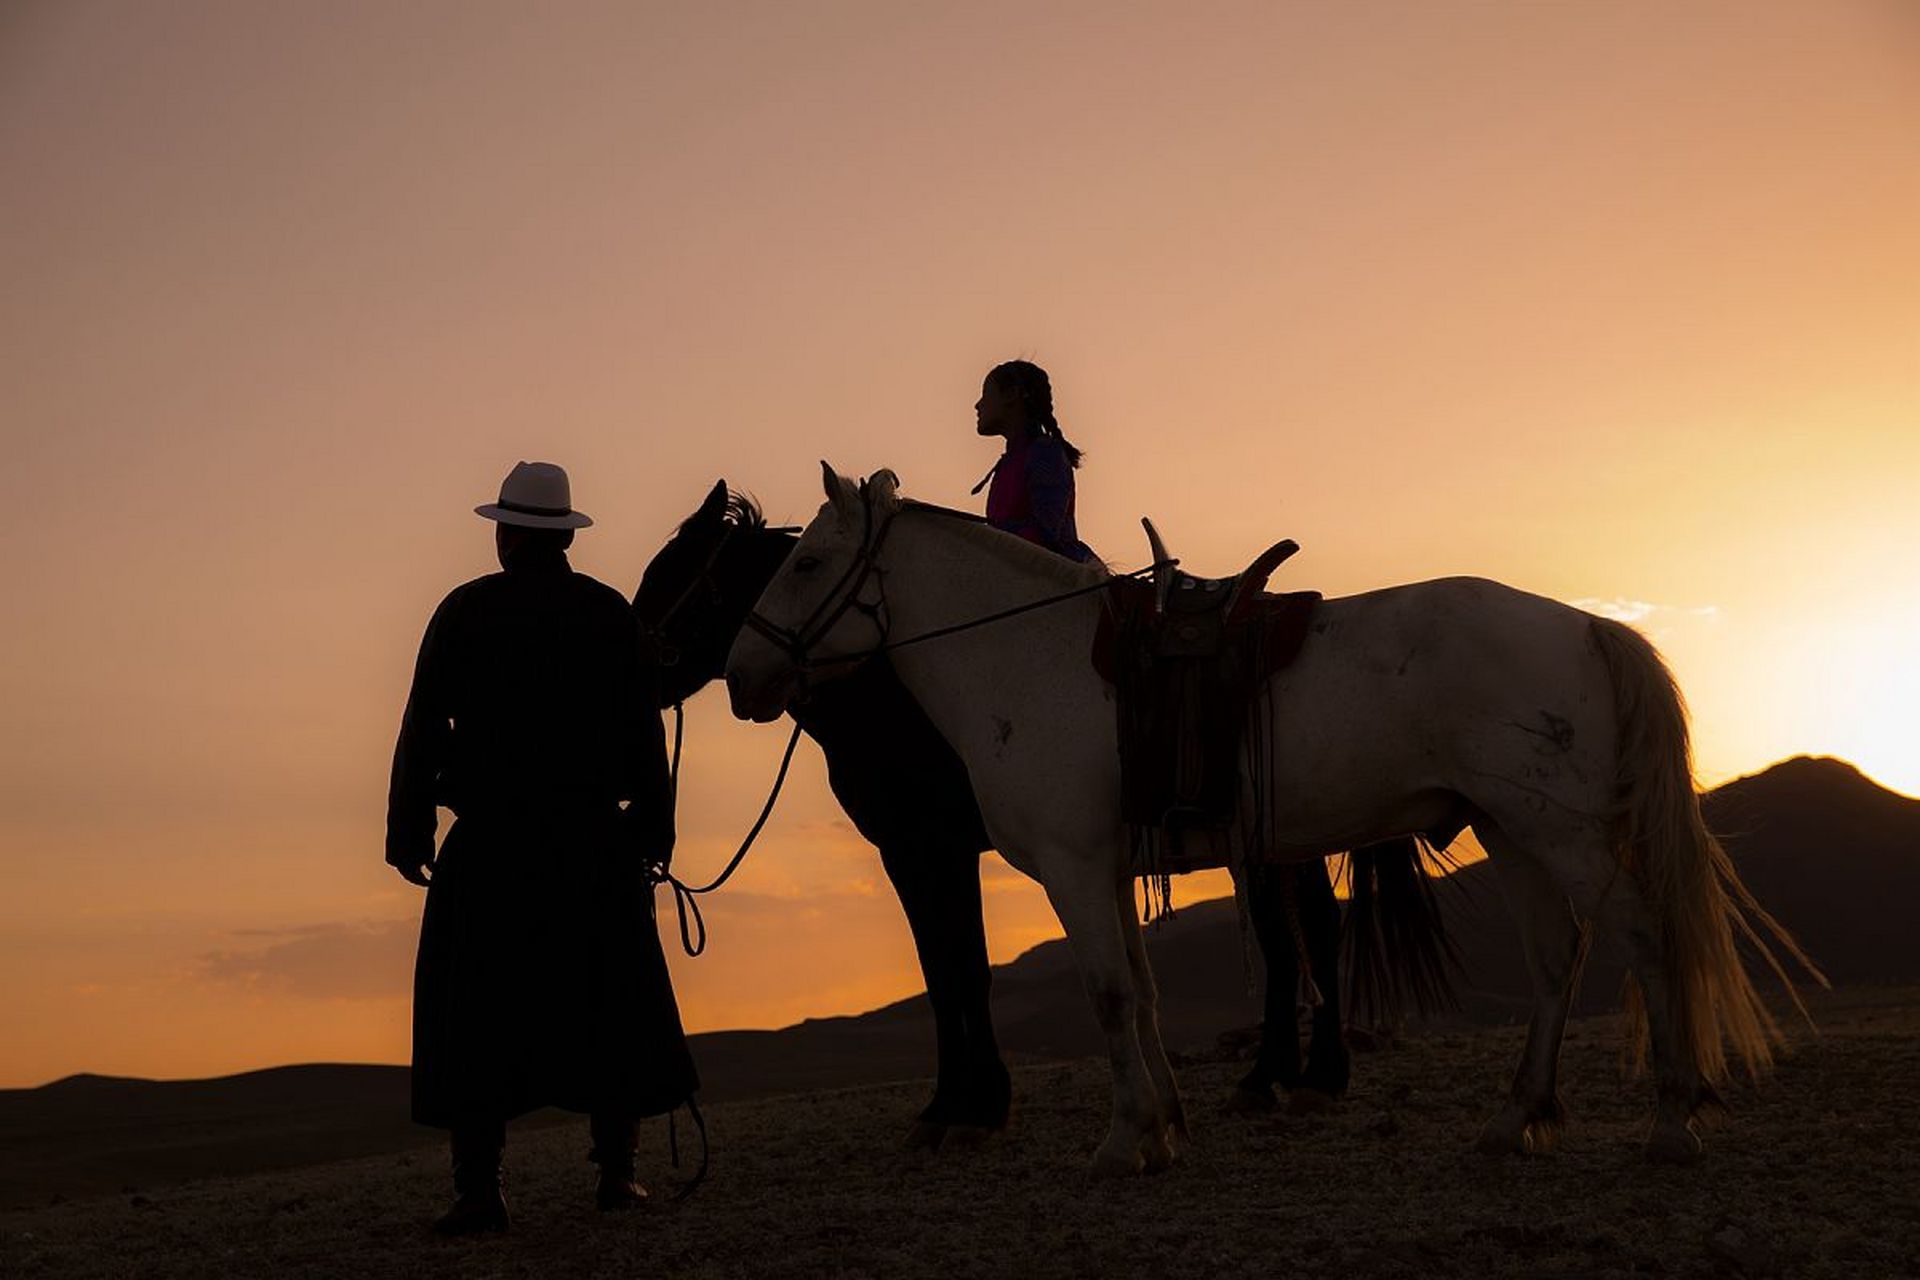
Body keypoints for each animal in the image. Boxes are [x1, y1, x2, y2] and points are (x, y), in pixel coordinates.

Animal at [633, 485, 1451, 1143]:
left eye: (673, 576)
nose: (742, 678)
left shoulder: (931, 848)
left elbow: (960, 972)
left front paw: (969, 1108)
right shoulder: (923, 852)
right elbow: (949, 970)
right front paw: (960, 1104)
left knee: (1311, 928)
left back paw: (1315, 1076)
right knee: (1291, 940)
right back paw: (1274, 1077)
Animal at [721, 466, 1812, 1174]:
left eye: (807, 563)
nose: (741, 676)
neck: (1029, 661)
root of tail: (1584, 625)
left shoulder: (1072, 865)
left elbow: (1108, 995)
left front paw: (1120, 1140)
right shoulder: (1108, 866)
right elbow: (1143, 994)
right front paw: (1162, 1127)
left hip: (1565, 834)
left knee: (1643, 936)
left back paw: (1670, 1119)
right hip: (1514, 829)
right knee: (1557, 959)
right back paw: (1518, 1118)